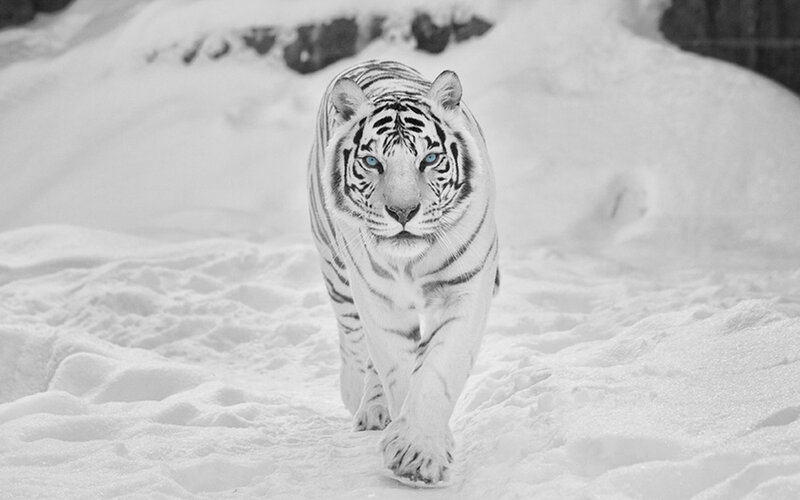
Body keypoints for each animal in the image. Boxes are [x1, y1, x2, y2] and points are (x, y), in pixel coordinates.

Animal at [307, 60, 499, 485]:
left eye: (428, 160)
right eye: (372, 162)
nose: (402, 212)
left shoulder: (465, 288)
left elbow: (438, 368)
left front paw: (418, 453)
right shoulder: (379, 299)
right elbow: (396, 364)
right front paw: (414, 447)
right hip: (336, 269)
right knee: (354, 339)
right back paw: (363, 401)